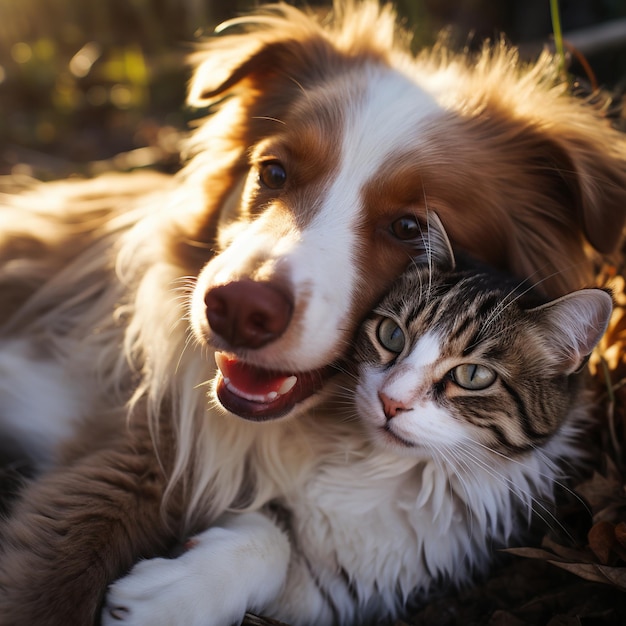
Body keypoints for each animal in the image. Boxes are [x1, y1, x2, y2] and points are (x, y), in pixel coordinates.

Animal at [98, 214, 608, 624]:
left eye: (474, 376)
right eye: (391, 335)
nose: (390, 400)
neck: (382, 467)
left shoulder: (357, 587)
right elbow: (273, 536)